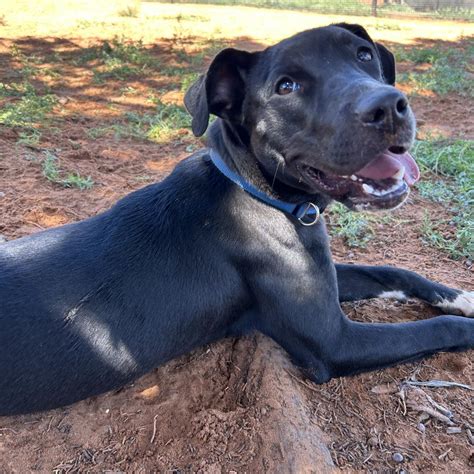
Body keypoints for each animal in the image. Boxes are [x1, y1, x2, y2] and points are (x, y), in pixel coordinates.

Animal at [0, 25, 472, 414]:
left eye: (363, 54)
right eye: (286, 86)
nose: (390, 106)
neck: (253, 190)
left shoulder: (322, 276)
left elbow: (391, 270)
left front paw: (458, 295)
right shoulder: (333, 341)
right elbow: (436, 327)